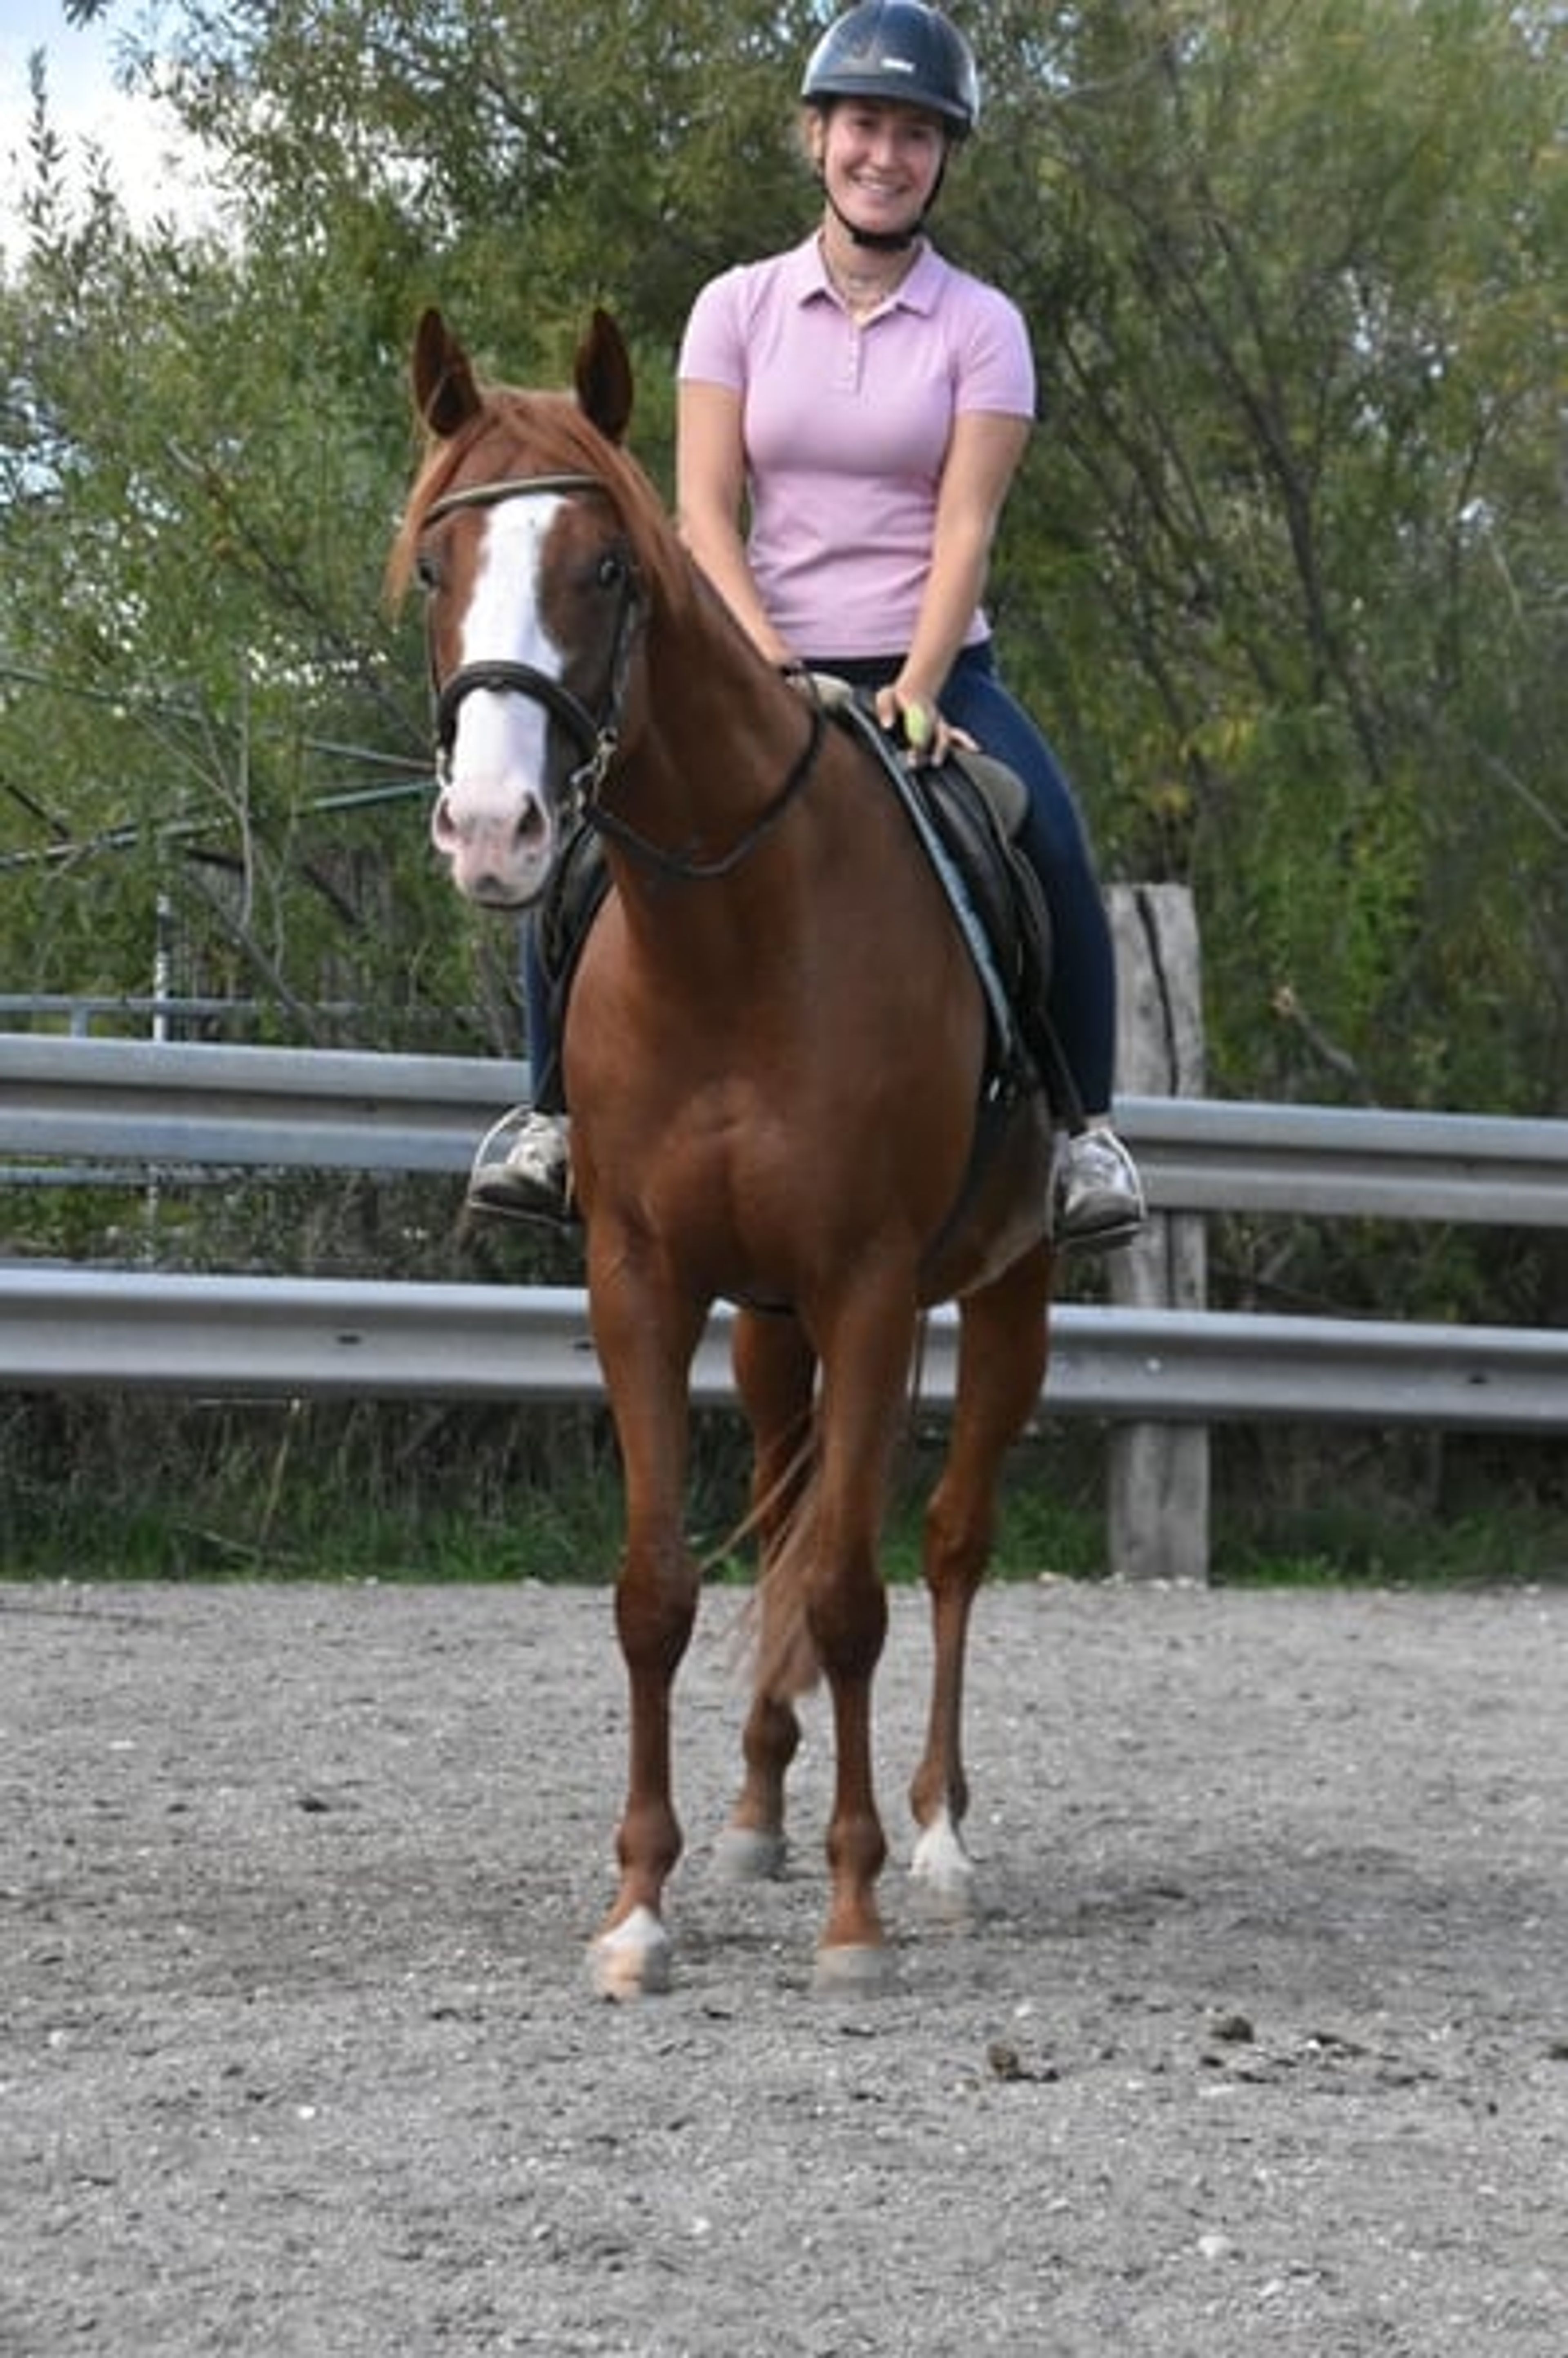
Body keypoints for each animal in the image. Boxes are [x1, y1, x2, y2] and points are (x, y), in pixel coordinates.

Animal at [391, 307, 1057, 1999]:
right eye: (435, 568)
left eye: (608, 568)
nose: (492, 829)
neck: (740, 935)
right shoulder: (642, 1276)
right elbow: (661, 1587)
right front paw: (642, 1902)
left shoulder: (874, 1283)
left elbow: (852, 1590)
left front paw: (856, 1910)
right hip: (765, 1326)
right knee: (777, 1485)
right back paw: (759, 1808)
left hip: (1009, 1289)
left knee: (950, 1543)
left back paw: (938, 1834)